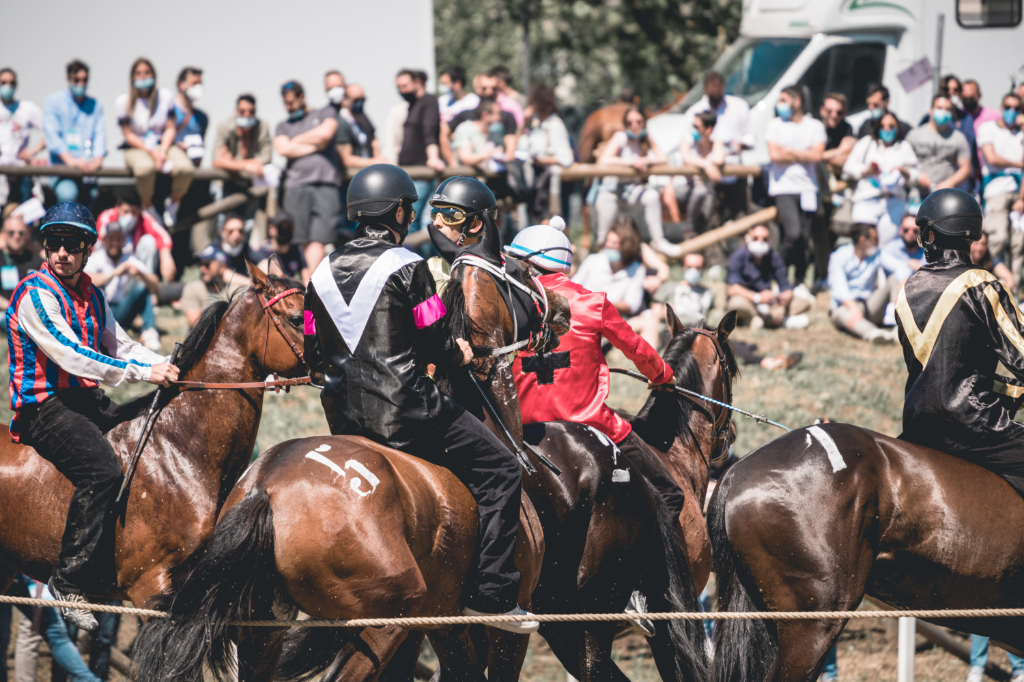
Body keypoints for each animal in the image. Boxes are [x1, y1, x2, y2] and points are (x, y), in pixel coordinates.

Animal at [129, 229, 577, 679]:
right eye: (522, 270)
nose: (563, 304)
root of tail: (266, 489)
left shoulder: (443, 624)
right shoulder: (504, 632)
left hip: (267, 628)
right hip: (389, 614)